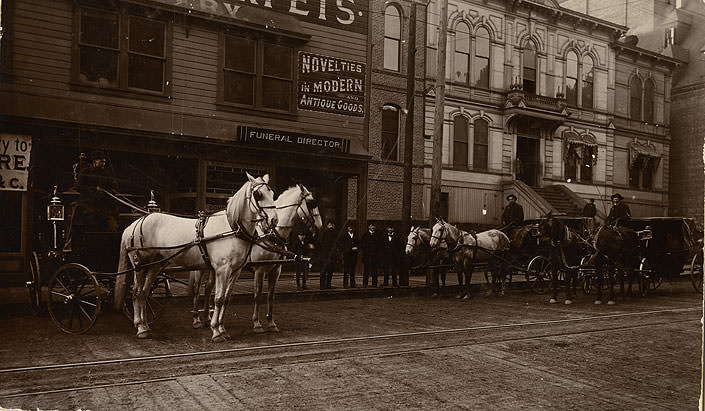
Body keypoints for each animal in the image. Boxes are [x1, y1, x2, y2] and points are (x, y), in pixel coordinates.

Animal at [114, 173, 276, 342]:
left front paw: (222, 328)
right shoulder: (222, 270)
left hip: (155, 265)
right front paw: (216, 330)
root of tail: (136, 223)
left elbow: (226, 298)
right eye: (258, 194)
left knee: (145, 292)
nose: (273, 220)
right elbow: (218, 298)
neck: (232, 228)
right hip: (140, 265)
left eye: (272, 194)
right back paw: (139, 326)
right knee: (137, 292)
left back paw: (145, 326)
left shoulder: (235, 271)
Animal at [250, 185, 322, 334]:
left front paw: (271, 323)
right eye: (311, 203)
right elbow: (258, 295)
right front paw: (257, 323)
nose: (320, 226)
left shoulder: (276, 270)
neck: (272, 233)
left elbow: (270, 295)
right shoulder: (259, 270)